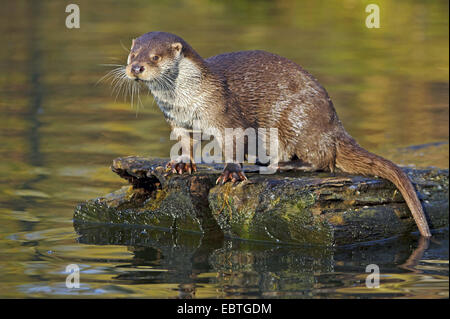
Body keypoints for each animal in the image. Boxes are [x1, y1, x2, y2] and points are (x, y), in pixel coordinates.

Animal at [121, 31, 430, 238]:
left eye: (155, 57)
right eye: (132, 54)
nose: (136, 68)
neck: (187, 99)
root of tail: (334, 124)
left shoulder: (225, 113)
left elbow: (233, 144)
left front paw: (232, 172)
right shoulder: (177, 121)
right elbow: (184, 142)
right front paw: (181, 164)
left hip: (296, 120)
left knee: (322, 159)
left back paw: (281, 164)